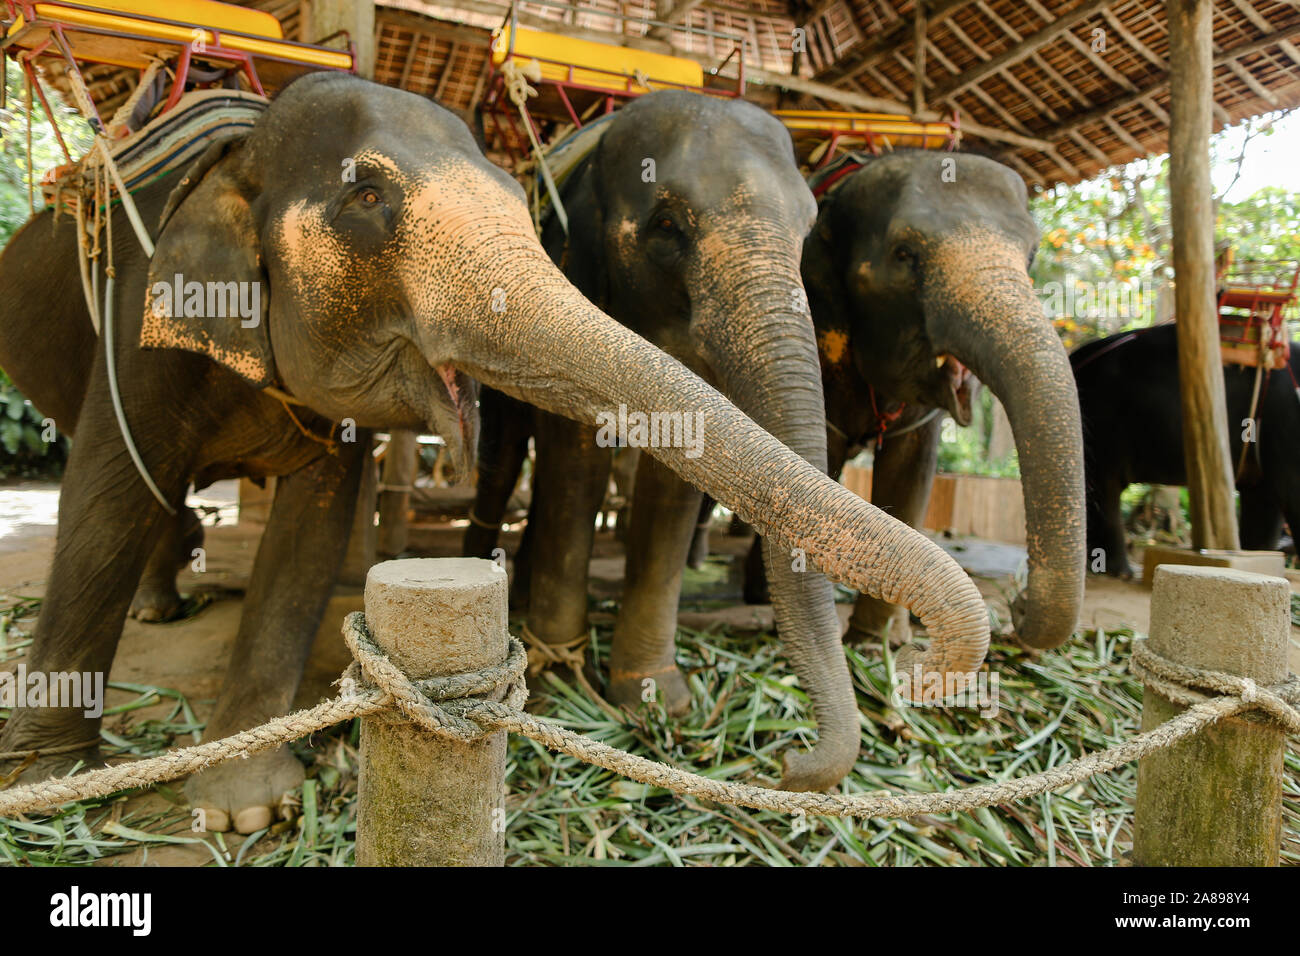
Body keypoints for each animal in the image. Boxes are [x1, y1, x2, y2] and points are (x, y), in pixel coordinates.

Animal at [0, 74, 987, 832]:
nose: (782, 763)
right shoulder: (136, 315)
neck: (242, 156)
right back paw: (159, 614)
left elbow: (310, 538)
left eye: (817, 235)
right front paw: (53, 786)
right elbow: (104, 499)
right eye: (366, 198)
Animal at [743, 149, 1086, 655]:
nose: (1017, 604)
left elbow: (911, 474)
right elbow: (820, 458)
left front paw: (872, 644)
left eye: (1032, 254)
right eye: (904, 255)